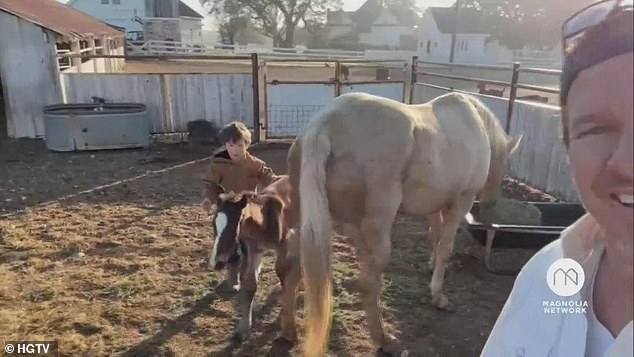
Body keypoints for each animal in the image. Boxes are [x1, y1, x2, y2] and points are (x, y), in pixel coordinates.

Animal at [205, 175, 298, 342]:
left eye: (236, 223)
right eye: (213, 222)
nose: (217, 262)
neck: (265, 220)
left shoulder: (283, 245)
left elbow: (283, 275)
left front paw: (284, 317)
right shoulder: (253, 249)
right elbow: (250, 285)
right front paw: (243, 329)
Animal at [286, 91, 520, 354]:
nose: (491, 204)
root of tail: (325, 124)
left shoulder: (433, 205)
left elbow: (435, 236)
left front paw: (431, 266)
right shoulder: (461, 201)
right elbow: (446, 247)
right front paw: (437, 295)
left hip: (316, 225)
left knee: (298, 269)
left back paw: (289, 330)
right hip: (376, 230)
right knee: (369, 283)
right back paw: (382, 338)